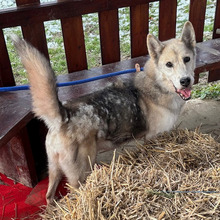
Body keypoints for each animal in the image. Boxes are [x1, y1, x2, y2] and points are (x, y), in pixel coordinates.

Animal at [12, 21, 196, 205]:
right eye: (169, 64)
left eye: (187, 59)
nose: (185, 81)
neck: (158, 85)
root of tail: (64, 116)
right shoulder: (153, 137)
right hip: (81, 174)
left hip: (54, 168)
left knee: (49, 196)